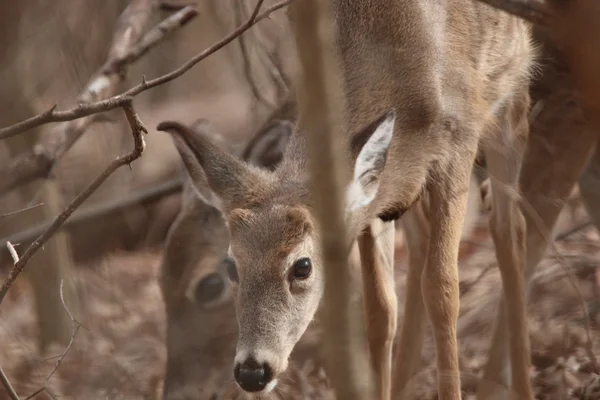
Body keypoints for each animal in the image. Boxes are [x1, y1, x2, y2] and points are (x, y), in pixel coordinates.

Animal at [156, 0, 536, 396]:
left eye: (302, 266)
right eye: (232, 265)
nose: (252, 371)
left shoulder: (459, 140)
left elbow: (442, 290)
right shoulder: (374, 198)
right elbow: (380, 308)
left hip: (512, 95)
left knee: (510, 230)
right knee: (422, 248)